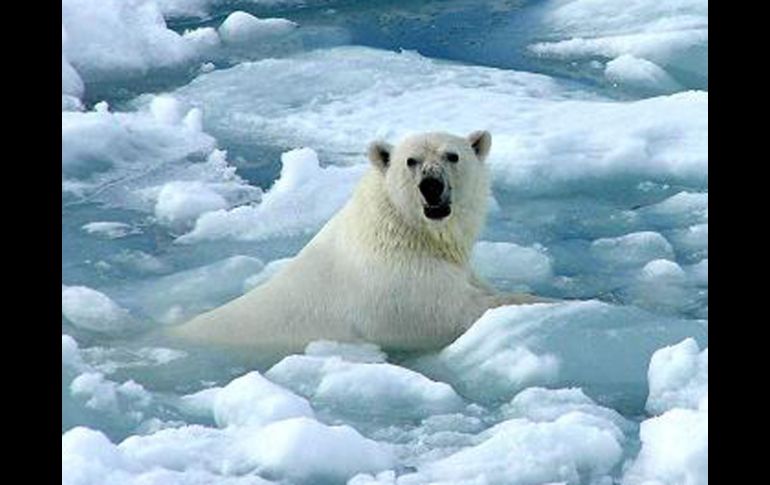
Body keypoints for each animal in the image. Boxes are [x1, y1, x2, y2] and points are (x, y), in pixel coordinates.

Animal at [167, 131, 544, 352]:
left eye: (452, 156)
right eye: (411, 161)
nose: (431, 186)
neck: (404, 231)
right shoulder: (397, 288)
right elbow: (455, 312)